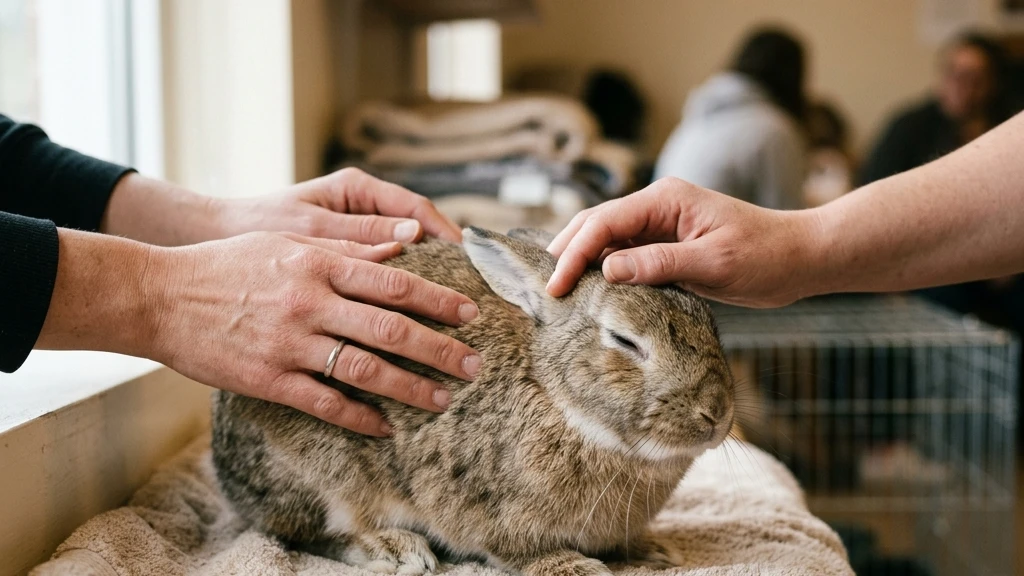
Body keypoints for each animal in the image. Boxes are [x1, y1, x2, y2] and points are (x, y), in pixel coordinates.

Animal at [211, 227, 734, 576]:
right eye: (624, 341)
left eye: (711, 322)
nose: (716, 412)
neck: (557, 398)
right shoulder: (485, 509)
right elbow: (512, 549)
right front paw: (574, 567)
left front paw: (655, 551)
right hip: (322, 469)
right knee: (310, 532)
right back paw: (397, 550)